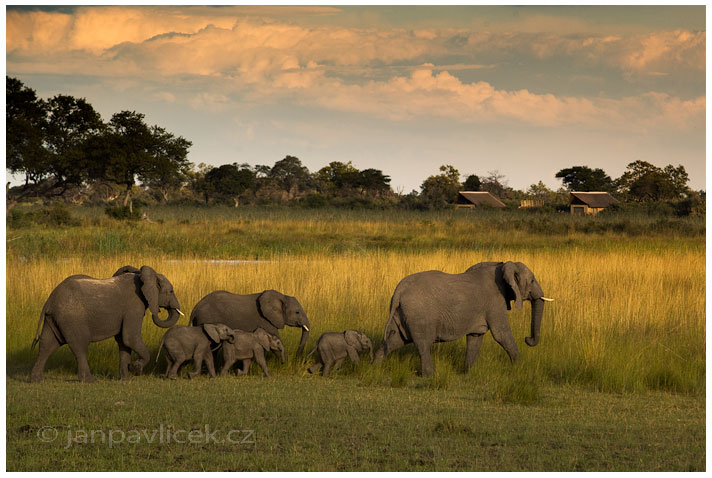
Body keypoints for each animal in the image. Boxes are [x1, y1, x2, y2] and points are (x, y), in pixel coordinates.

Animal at [29, 264, 185, 382]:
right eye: (171, 291)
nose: (158, 310)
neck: (143, 278)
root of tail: (50, 299)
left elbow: (123, 341)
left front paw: (126, 379)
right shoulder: (134, 306)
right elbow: (130, 338)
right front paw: (135, 369)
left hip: (54, 318)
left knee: (47, 345)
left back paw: (36, 380)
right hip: (71, 318)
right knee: (79, 346)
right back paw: (90, 381)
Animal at [376, 262, 552, 378]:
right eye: (532, 280)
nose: (527, 339)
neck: (503, 265)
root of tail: (399, 289)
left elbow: (475, 337)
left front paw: (468, 374)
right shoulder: (495, 301)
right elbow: (501, 334)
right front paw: (522, 370)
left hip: (402, 312)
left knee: (394, 340)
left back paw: (374, 366)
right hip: (419, 314)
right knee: (423, 343)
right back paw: (430, 376)